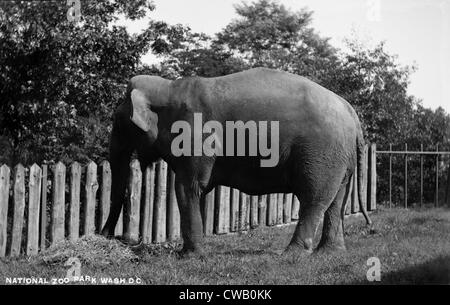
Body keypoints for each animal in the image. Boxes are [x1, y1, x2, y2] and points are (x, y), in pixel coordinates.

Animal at [100, 67, 370, 255]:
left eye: (117, 121)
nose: (106, 236)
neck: (169, 88)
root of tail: (351, 112)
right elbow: (194, 189)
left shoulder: (196, 136)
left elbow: (188, 187)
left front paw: (189, 256)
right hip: (339, 158)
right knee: (336, 200)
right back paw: (329, 253)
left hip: (321, 152)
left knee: (314, 199)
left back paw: (291, 254)